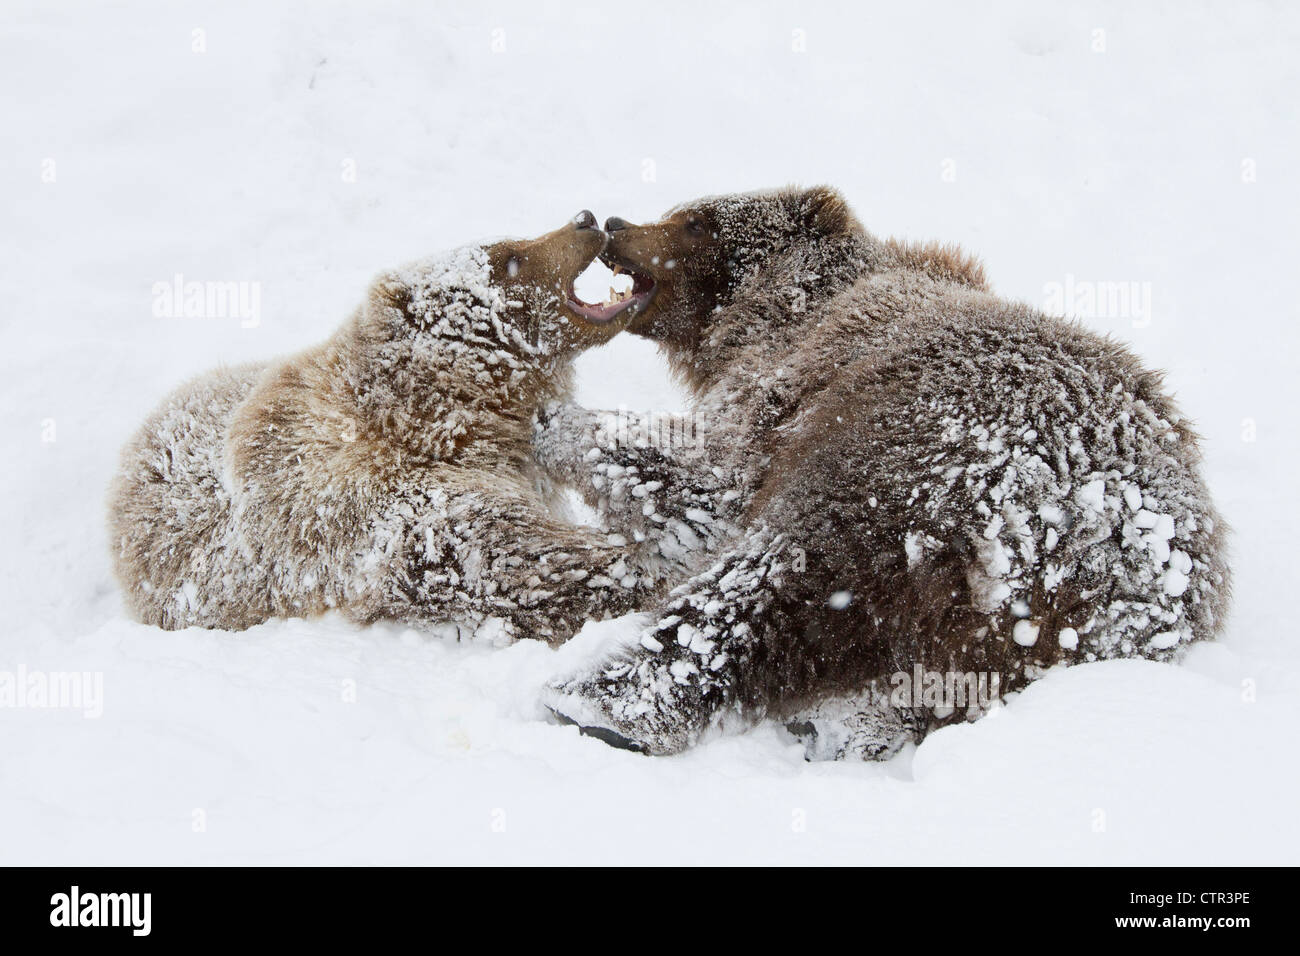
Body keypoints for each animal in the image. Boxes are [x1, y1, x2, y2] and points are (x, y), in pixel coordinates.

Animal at [111, 210, 670, 642]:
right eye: (506, 258)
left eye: (507, 242)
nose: (585, 218)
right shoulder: (394, 512)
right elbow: (525, 563)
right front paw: (643, 569)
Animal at [530, 184, 1227, 754]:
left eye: (696, 221)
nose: (616, 223)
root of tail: (1079, 529)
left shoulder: (785, 400)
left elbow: (703, 490)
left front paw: (550, 420)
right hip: (1059, 630)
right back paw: (850, 723)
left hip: (901, 466)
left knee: (778, 576)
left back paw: (602, 703)